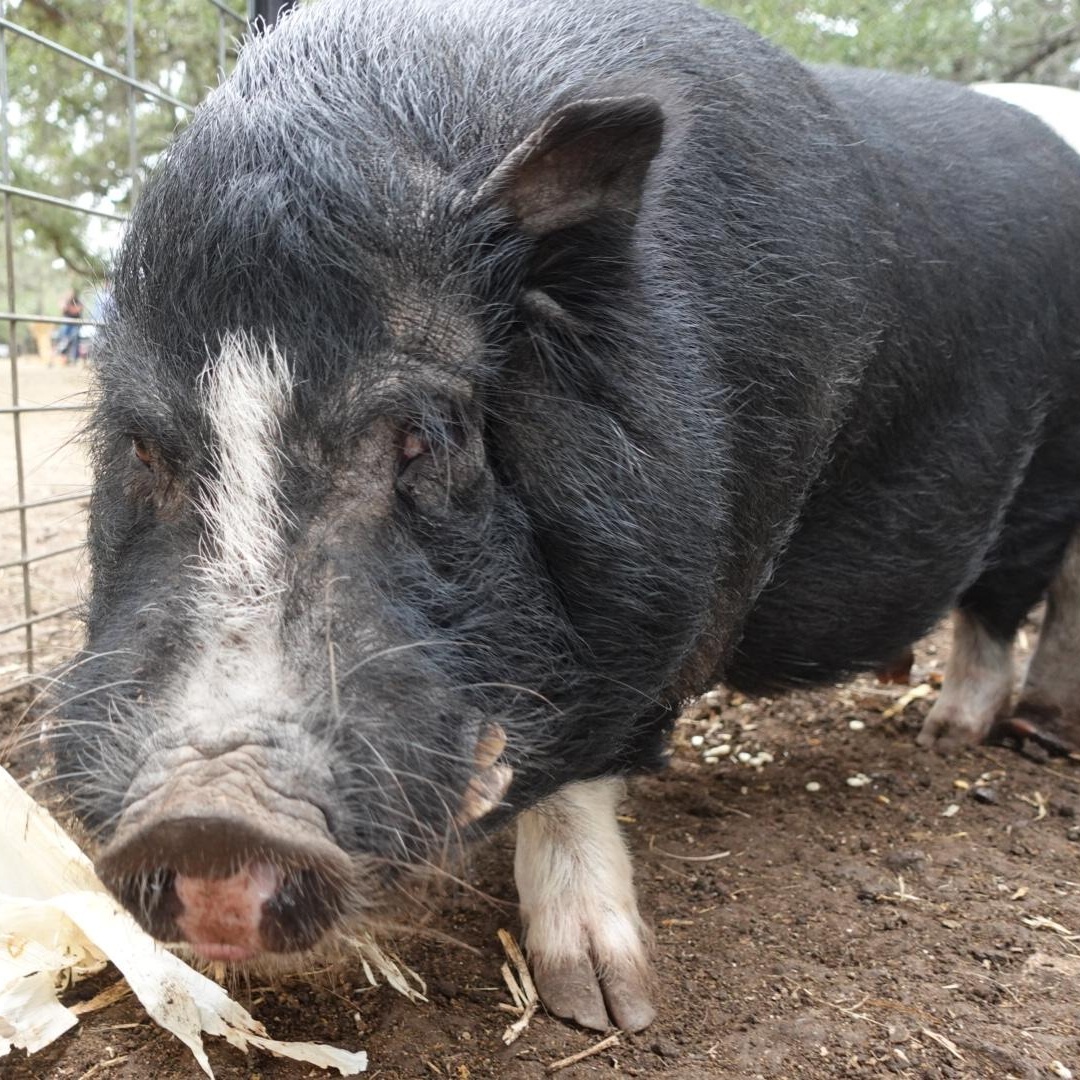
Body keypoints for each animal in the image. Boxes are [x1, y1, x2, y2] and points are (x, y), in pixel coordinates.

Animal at [49, 0, 1080, 1033]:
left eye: (427, 434)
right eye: (143, 447)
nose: (205, 815)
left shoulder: (671, 593)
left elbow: (580, 776)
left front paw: (605, 1006)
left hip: (1047, 483)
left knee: (1016, 602)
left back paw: (961, 735)